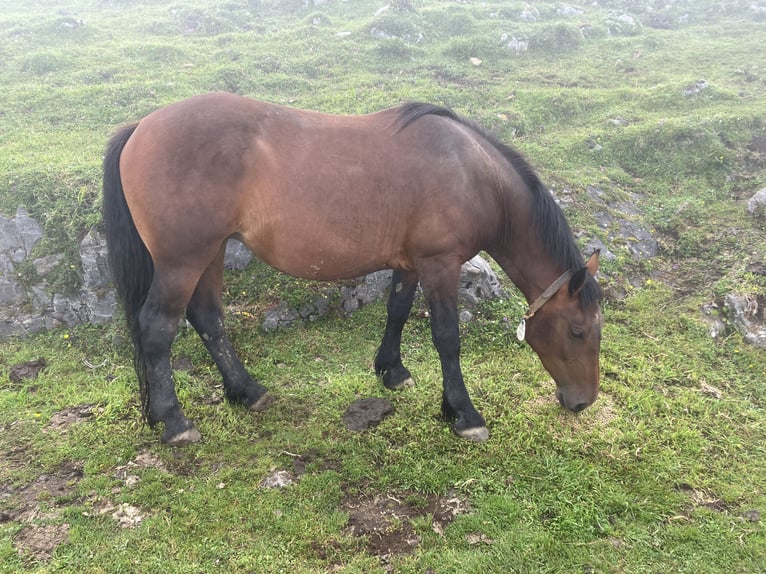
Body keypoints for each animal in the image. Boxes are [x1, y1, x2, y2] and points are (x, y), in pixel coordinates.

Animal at [103, 93, 608, 446]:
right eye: (579, 331)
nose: (582, 401)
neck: (471, 172)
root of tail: (141, 127)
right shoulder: (440, 265)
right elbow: (447, 337)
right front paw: (463, 413)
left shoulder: (411, 263)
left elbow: (397, 312)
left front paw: (392, 371)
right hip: (182, 260)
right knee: (157, 328)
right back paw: (174, 421)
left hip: (209, 253)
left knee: (208, 318)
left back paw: (246, 391)